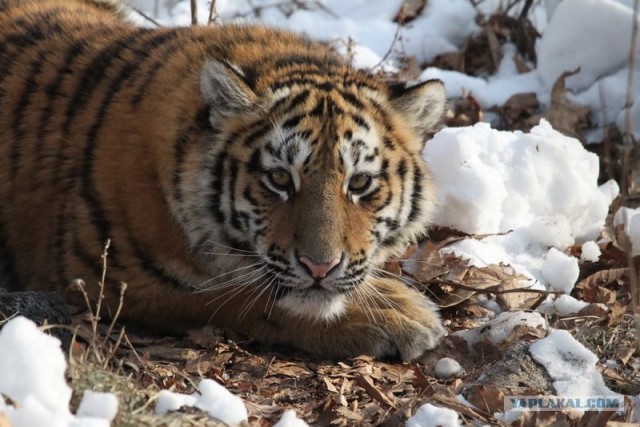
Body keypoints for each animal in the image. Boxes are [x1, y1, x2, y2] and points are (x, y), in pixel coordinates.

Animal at [0, 0, 448, 362]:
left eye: (358, 184)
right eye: (279, 178)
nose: (319, 267)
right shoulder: (106, 273)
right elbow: (244, 296)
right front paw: (398, 314)